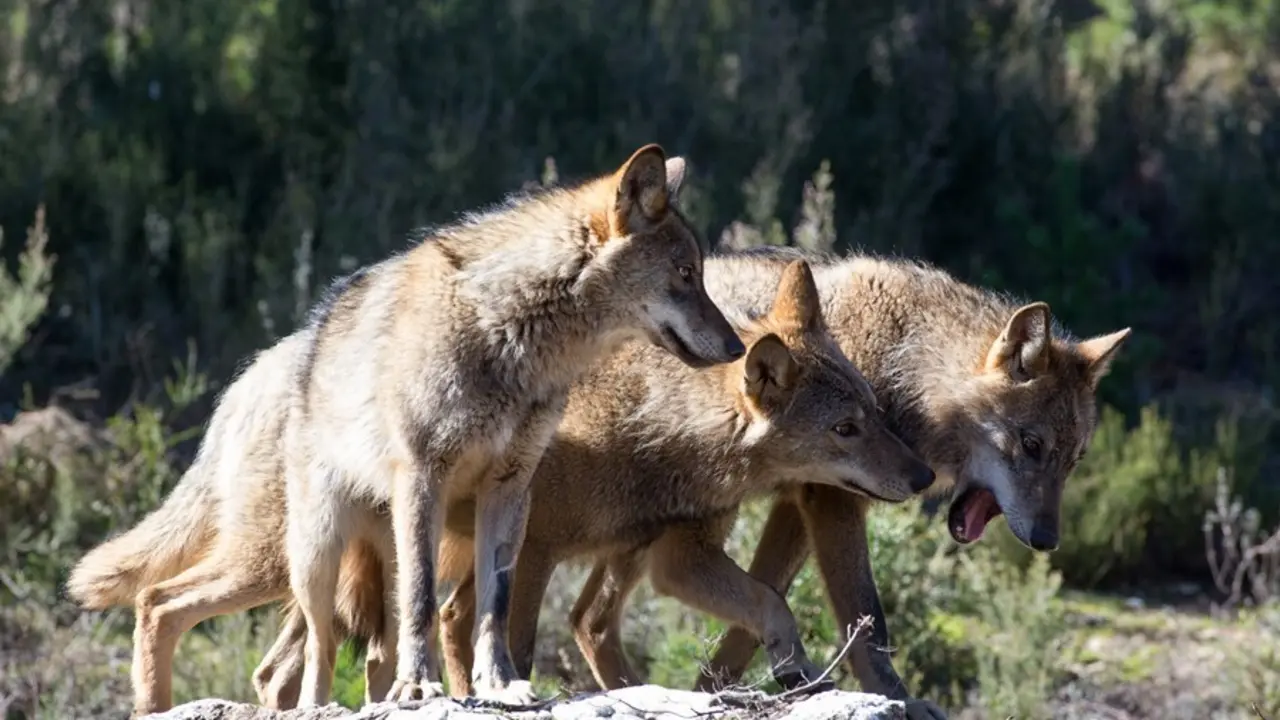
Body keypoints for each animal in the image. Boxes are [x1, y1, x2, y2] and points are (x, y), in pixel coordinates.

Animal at [67, 143, 745, 714]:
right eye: (686, 274)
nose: (740, 347)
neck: (509, 336)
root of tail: (251, 376)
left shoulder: (511, 490)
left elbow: (494, 606)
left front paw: (500, 685)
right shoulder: (425, 477)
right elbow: (424, 601)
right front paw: (420, 687)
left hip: (355, 555)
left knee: (330, 654)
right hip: (302, 557)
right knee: (196, 616)